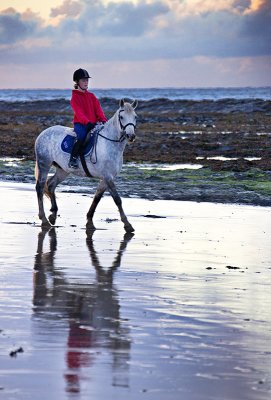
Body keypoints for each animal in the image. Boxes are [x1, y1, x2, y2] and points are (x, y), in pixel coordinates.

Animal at [35, 98, 138, 233]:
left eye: (135, 117)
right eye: (121, 117)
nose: (131, 136)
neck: (110, 144)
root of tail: (43, 133)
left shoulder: (106, 178)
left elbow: (97, 198)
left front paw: (89, 221)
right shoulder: (108, 177)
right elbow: (117, 199)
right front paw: (127, 224)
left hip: (63, 170)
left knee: (51, 184)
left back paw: (53, 214)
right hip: (44, 164)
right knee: (40, 187)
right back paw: (44, 220)